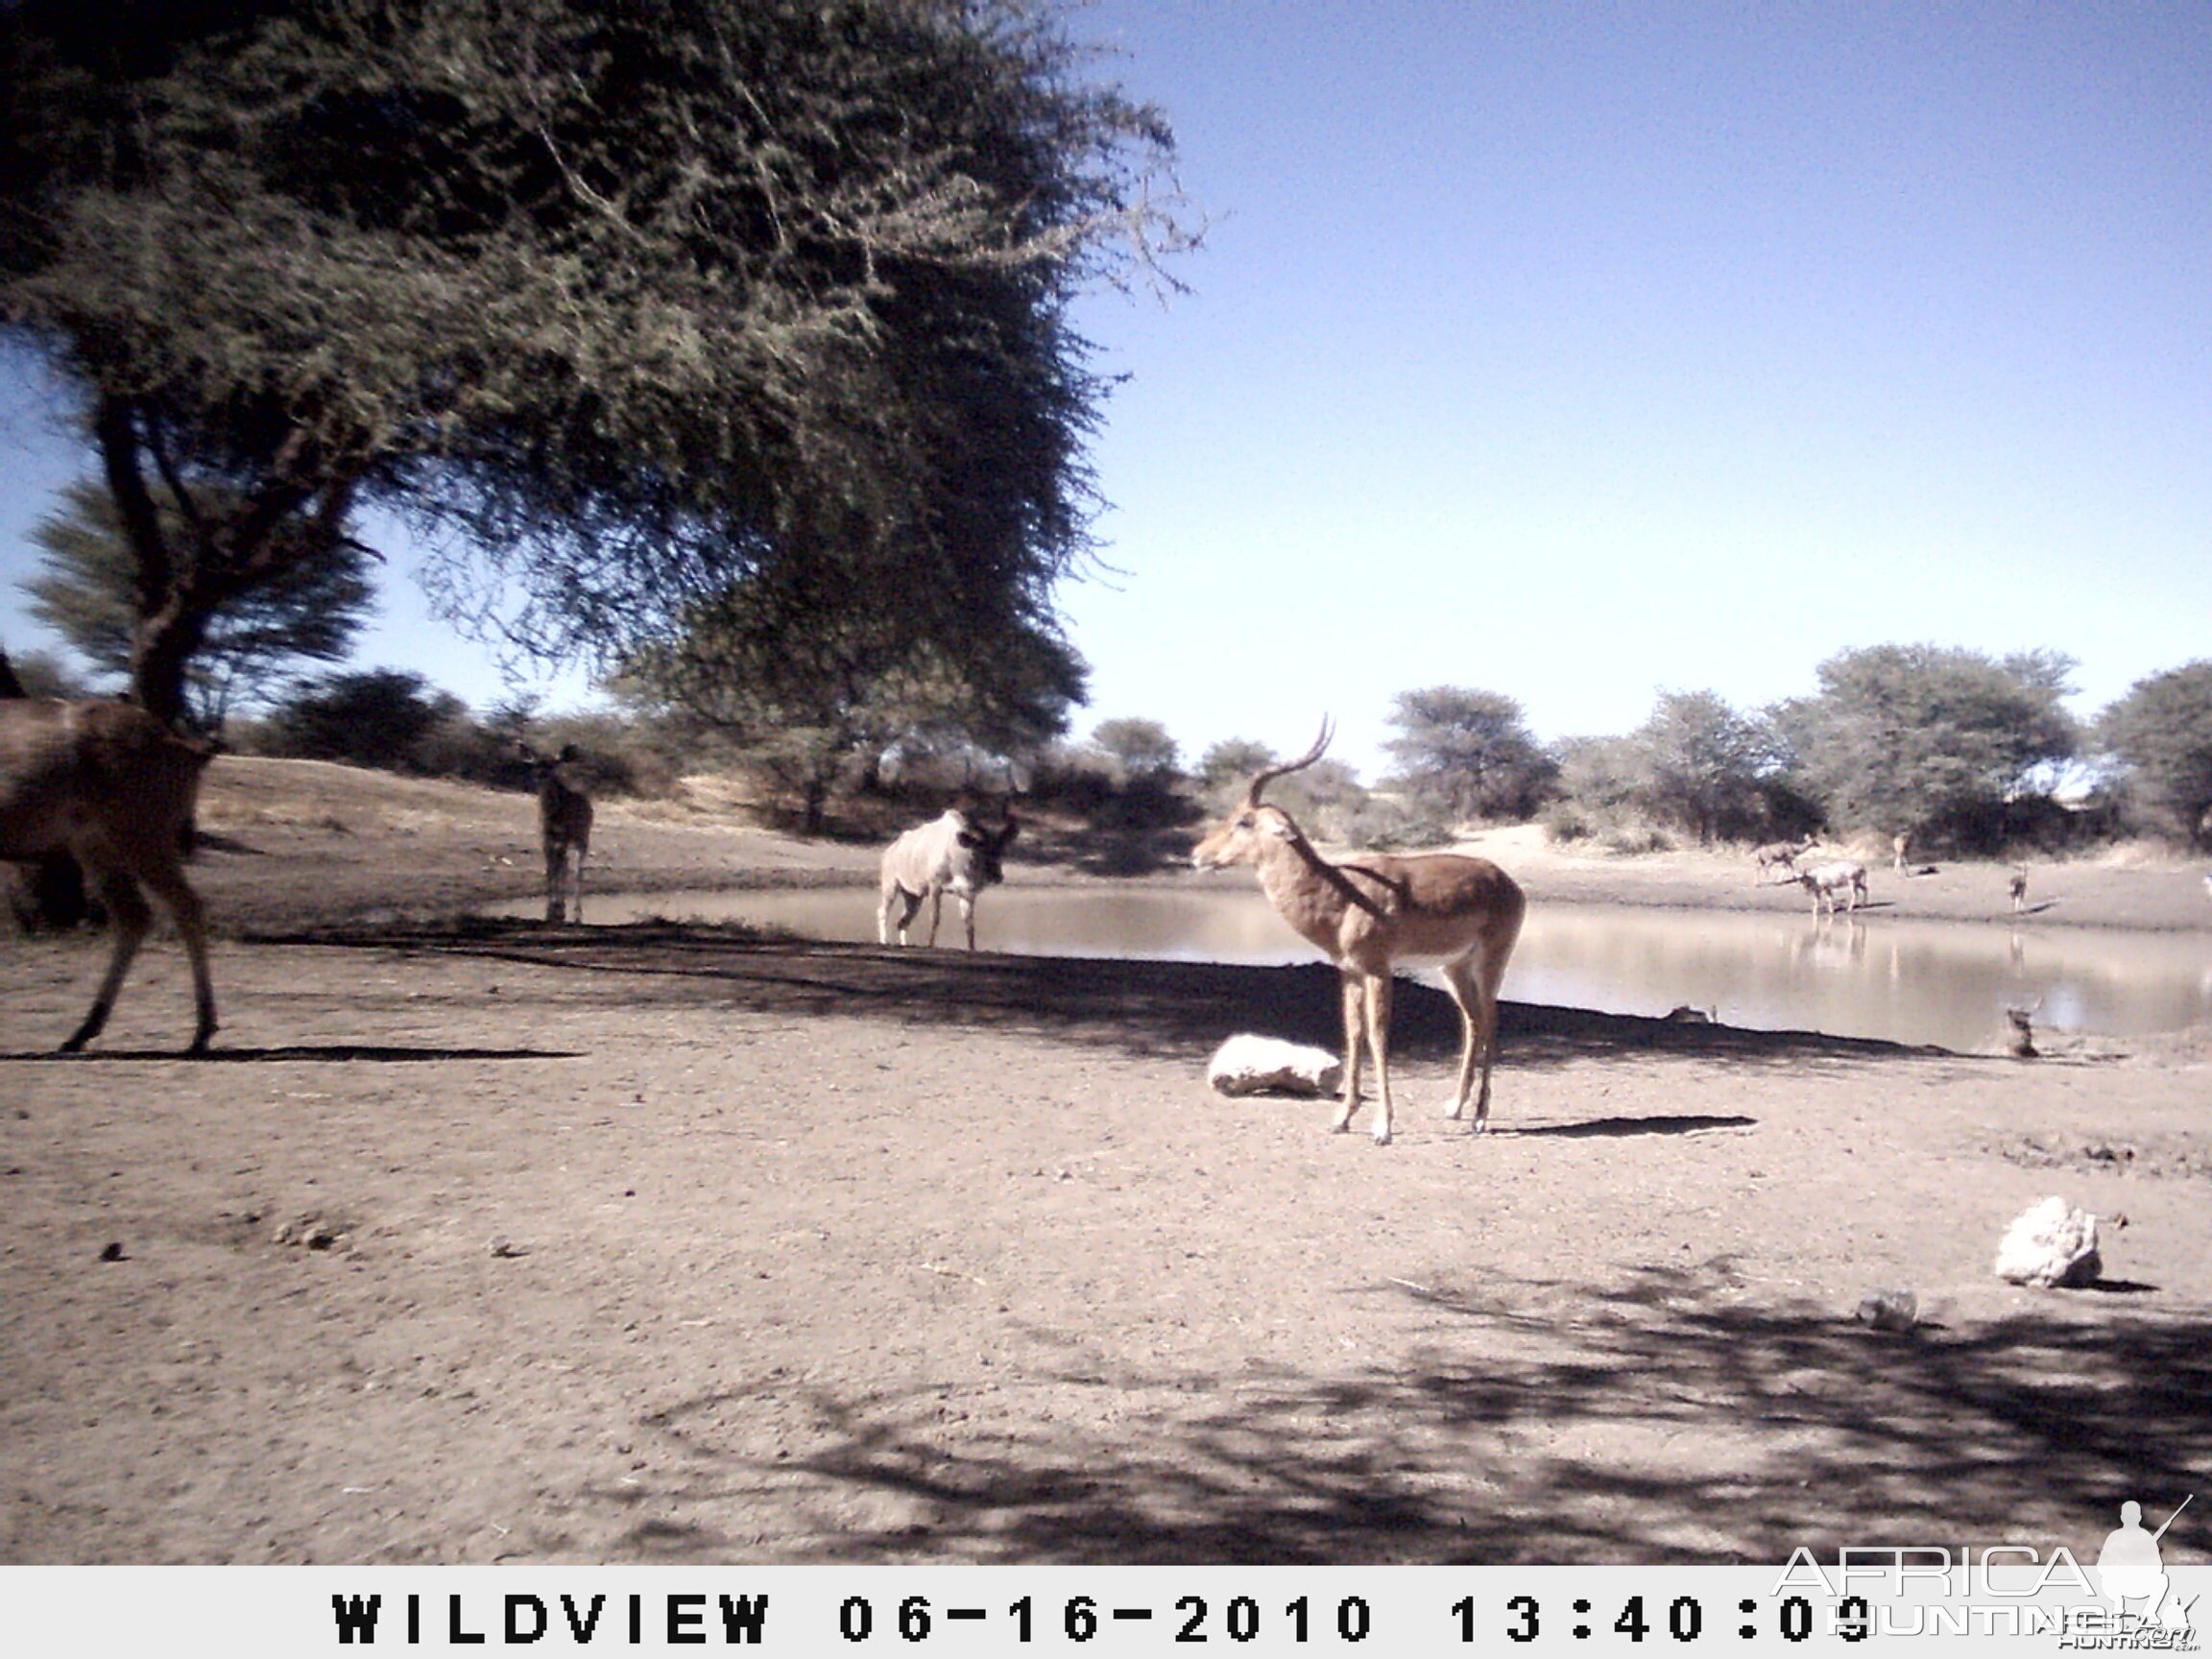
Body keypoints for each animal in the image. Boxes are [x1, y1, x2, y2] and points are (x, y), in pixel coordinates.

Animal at [0, 703, 220, 1052]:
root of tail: (186, 749)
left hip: (140, 838)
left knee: (184, 906)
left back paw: (201, 1033)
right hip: (96, 846)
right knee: (135, 914)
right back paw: (82, 1031)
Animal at [515, 747, 588, 928]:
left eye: (552, 765)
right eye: (535, 763)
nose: (539, 775)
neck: (553, 814)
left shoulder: (563, 837)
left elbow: (558, 867)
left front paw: (556, 909)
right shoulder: (545, 838)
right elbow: (550, 869)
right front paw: (551, 909)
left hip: (581, 839)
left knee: (578, 869)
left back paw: (576, 912)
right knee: (566, 864)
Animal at [879, 801, 1017, 947]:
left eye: (1001, 849)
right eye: (981, 848)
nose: (997, 876)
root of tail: (889, 851)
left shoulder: (967, 894)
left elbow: (969, 926)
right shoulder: (935, 887)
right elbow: (935, 919)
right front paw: (930, 946)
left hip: (914, 897)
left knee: (903, 922)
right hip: (890, 887)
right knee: (883, 912)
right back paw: (884, 941)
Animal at [1194, 721, 1522, 1150]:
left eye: (1243, 821)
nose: (1197, 855)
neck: (1341, 895)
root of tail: (1507, 882)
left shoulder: (1379, 970)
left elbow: (1378, 1036)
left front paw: (1383, 1127)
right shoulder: (1349, 971)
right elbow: (1353, 1033)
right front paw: (1343, 1118)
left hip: (1491, 962)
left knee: (1493, 1021)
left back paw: (1481, 1118)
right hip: (1453, 967)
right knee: (1473, 1022)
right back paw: (1455, 1108)